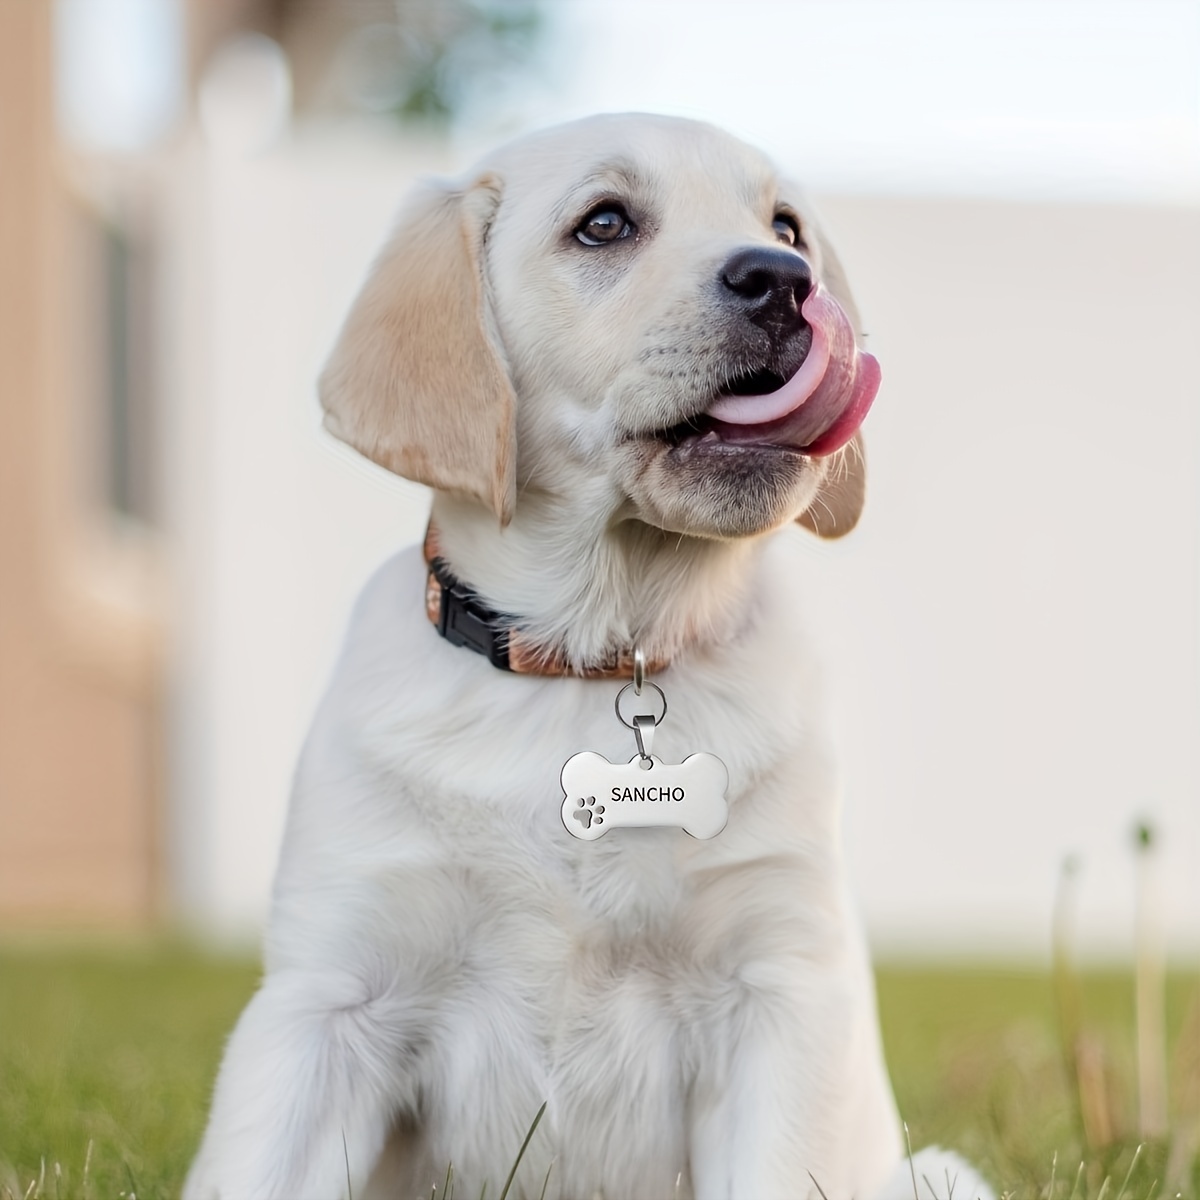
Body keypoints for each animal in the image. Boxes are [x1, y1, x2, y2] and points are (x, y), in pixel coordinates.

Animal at [187, 114, 993, 1200]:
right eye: (604, 224)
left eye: (786, 226)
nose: (785, 280)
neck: (596, 655)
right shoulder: (329, 998)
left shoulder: (778, 993)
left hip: (935, 1171)